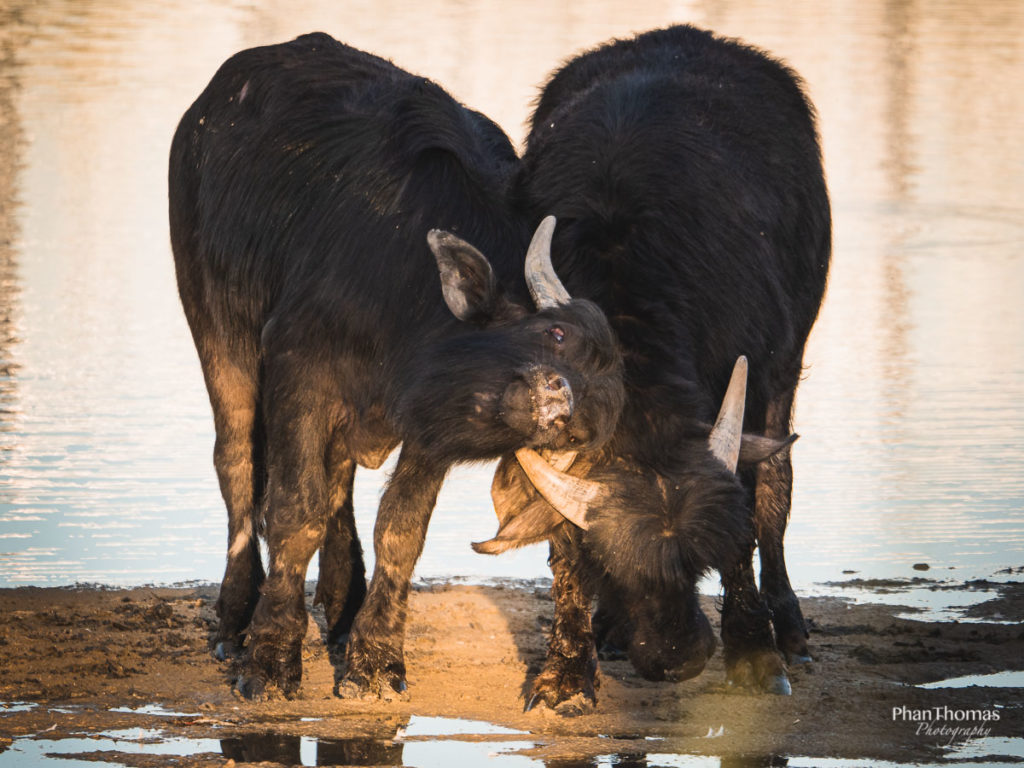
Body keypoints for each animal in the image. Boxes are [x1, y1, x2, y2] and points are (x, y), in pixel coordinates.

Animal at [166, 33, 622, 700]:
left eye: (598, 414)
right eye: (555, 331)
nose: (558, 404)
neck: (403, 293)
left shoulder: (432, 423)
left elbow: (401, 530)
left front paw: (375, 661)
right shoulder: (299, 372)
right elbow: (294, 511)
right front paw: (270, 659)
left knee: (337, 479)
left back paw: (340, 606)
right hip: (215, 324)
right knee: (238, 463)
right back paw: (233, 619)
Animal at [479, 24, 831, 708]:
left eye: (699, 557)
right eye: (611, 565)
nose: (679, 658)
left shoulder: (754, 378)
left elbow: (748, 506)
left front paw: (756, 652)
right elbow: (560, 537)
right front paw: (568, 669)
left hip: (788, 365)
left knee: (776, 486)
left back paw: (790, 626)